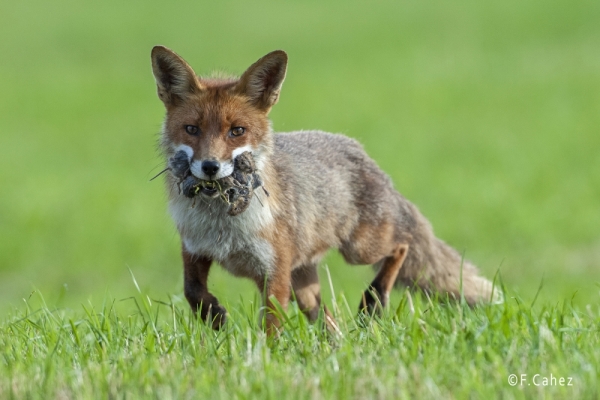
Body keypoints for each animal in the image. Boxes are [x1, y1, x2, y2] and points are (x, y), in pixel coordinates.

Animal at [151, 46, 502, 334]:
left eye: (237, 131)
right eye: (191, 129)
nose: (210, 167)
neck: (223, 224)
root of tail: (359, 149)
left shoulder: (274, 272)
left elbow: (271, 326)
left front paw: (266, 359)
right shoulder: (195, 250)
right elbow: (192, 291)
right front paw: (215, 317)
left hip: (360, 249)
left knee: (400, 245)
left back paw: (374, 300)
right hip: (304, 284)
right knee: (330, 322)